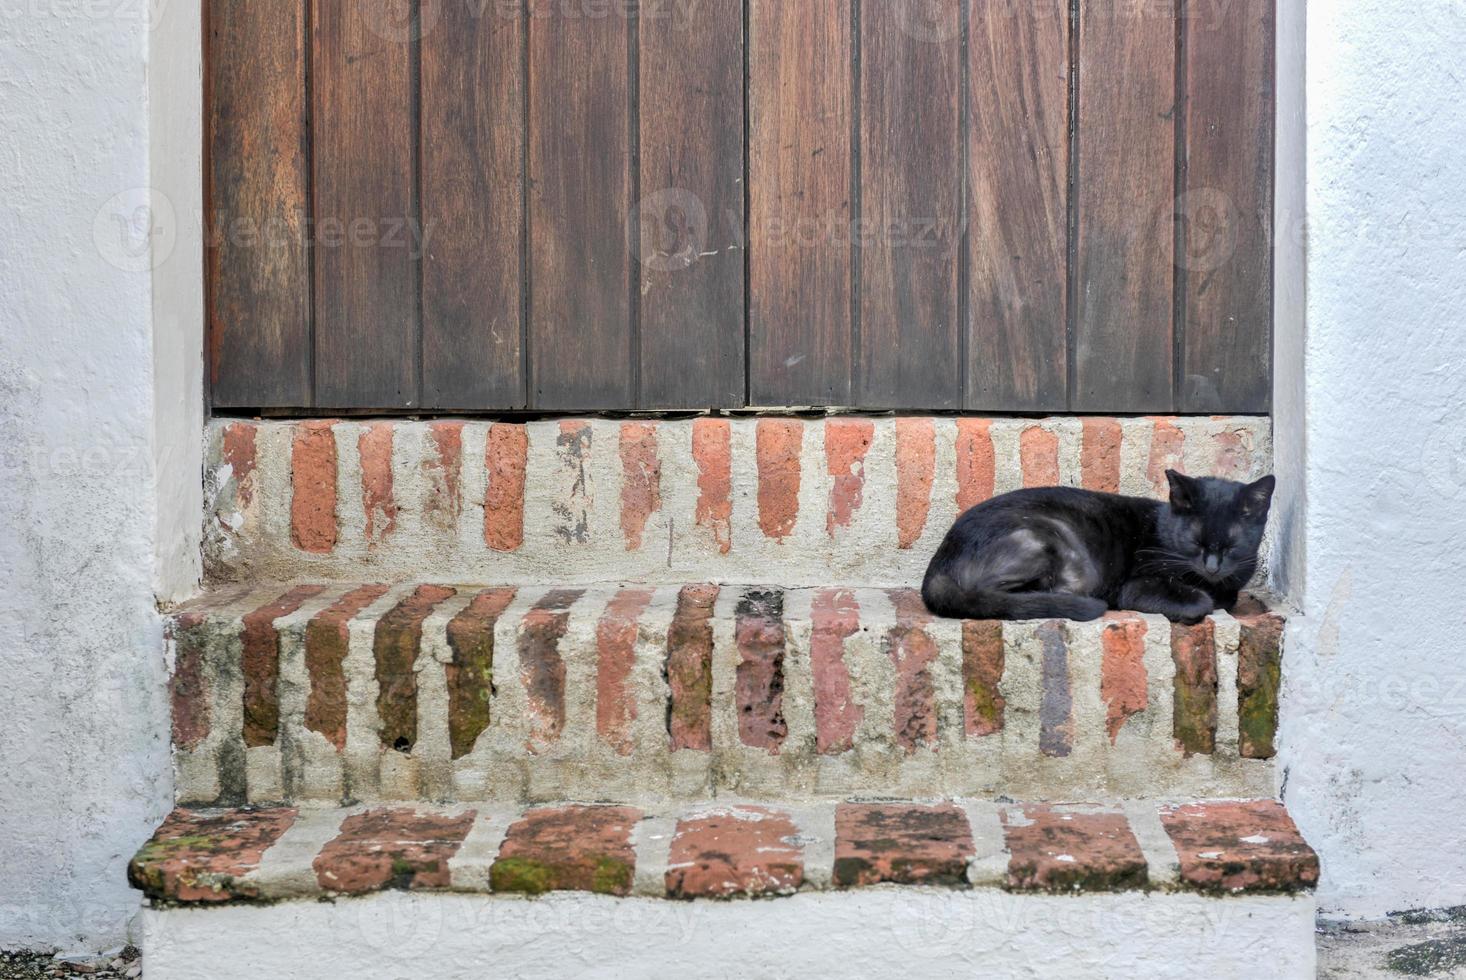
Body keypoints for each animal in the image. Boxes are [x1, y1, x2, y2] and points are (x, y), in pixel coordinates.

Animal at [920, 472, 1278, 624]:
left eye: (1232, 546)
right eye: (1195, 542)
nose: (1212, 566)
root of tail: (938, 565)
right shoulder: (1138, 584)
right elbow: (1201, 601)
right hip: (1051, 543)